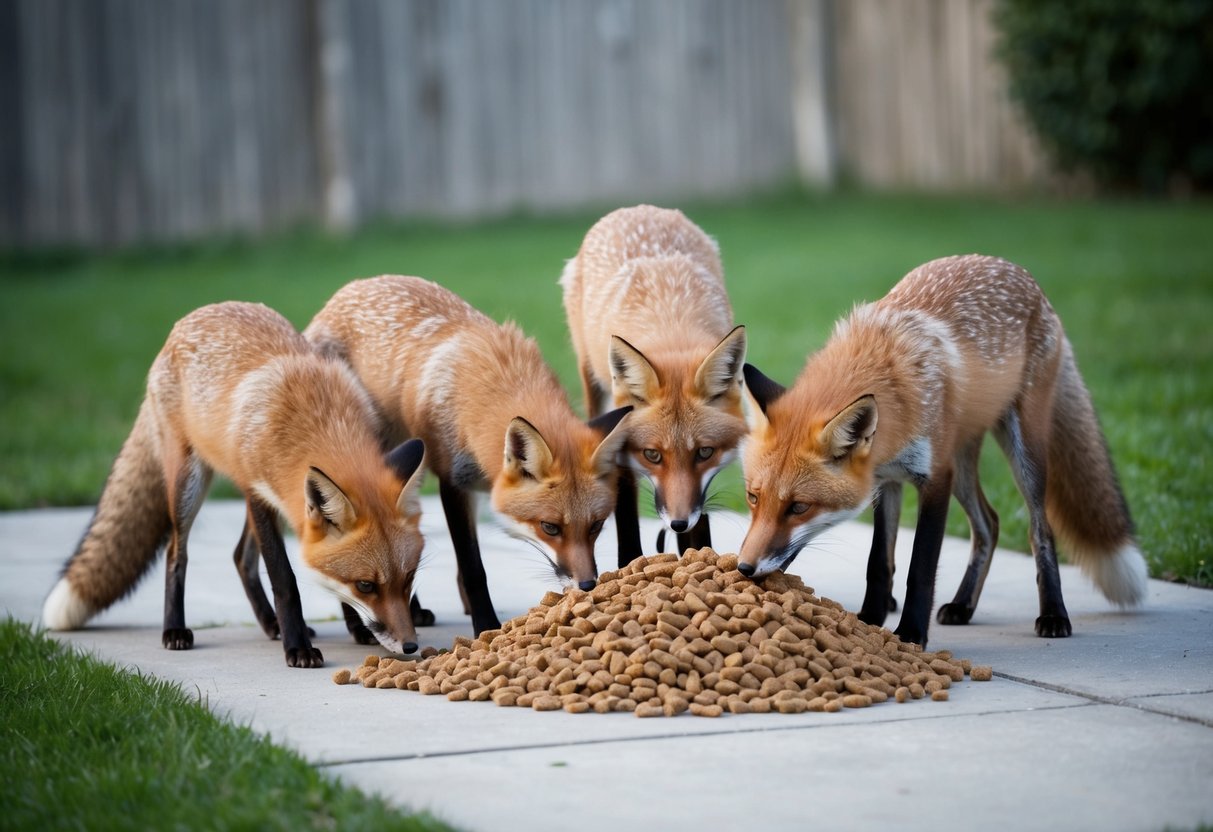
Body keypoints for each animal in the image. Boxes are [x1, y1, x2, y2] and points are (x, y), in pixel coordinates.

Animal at [41, 302, 428, 665]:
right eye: (366, 585)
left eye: (409, 577)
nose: (411, 646)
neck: (319, 419)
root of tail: (195, 315)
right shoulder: (258, 492)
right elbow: (285, 580)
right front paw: (299, 648)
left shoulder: (280, 502)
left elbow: (323, 574)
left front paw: (351, 626)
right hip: (189, 485)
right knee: (176, 553)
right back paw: (175, 630)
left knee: (240, 556)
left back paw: (271, 624)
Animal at [304, 275, 632, 635]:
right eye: (550, 527)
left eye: (596, 525)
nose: (587, 584)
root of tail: (351, 287)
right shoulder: (453, 482)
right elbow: (474, 568)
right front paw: (485, 625)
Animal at [561, 205, 747, 566]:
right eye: (653, 455)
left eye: (704, 452)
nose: (677, 523)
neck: (670, 316)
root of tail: (638, 208)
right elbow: (624, 501)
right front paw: (629, 564)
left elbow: (701, 516)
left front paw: (697, 556)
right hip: (594, 387)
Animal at [739, 254, 1148, 646]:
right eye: (753, 498)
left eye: (799, 507)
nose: (744, 567)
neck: (890, 375)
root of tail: (1019, 272)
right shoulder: (886, 480)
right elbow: (879, 562)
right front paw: (869, 619)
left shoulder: (935, 478)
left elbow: (920, 567)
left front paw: (911, 633)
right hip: (963, 463)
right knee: (989, 524)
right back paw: (964, 604)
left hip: (1021, 452)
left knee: (1040, 531)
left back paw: (1053, 615)